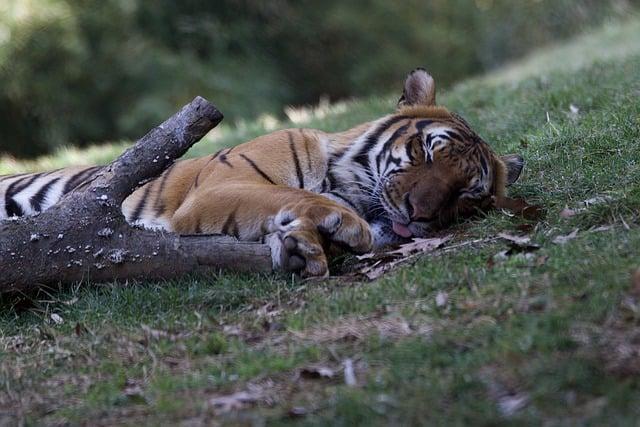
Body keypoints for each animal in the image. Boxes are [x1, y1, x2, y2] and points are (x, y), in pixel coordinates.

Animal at [0, 69, 520, 278]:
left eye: (466, 195)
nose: (420, 215)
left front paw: (298, 247)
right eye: (427, 152)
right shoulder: (217, 190)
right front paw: (337, 227)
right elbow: (286, 197)